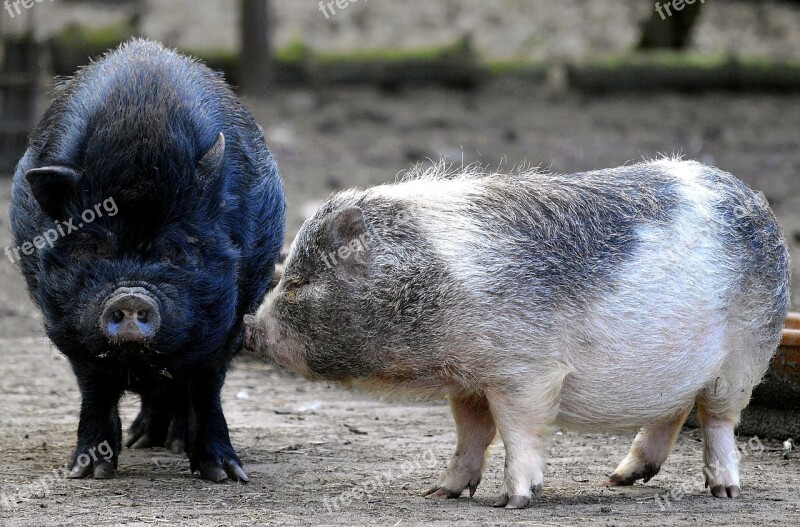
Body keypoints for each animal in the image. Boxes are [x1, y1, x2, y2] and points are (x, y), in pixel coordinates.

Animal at [8, 39, 284, 484]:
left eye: (177, 249)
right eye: (95, 246)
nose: (131, 297)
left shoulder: (227, 321)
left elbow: (205, 389)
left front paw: (225, 476)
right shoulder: (66, 322)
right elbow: (95, 390)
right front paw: (88, 473)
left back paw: (171, 445)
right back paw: (143, 442)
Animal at [244, 159, 788, 510]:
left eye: (298, 284)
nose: (248, 327)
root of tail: (755, 199)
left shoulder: (525, 372)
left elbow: (517, 431)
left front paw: (514, 502)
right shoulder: (469, 382)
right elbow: (471, 435)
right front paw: (439, 493)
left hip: (746, 353)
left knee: (717, 419)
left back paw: (725, 492)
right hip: (674, 367)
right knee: (671, 413)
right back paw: (617, 480)